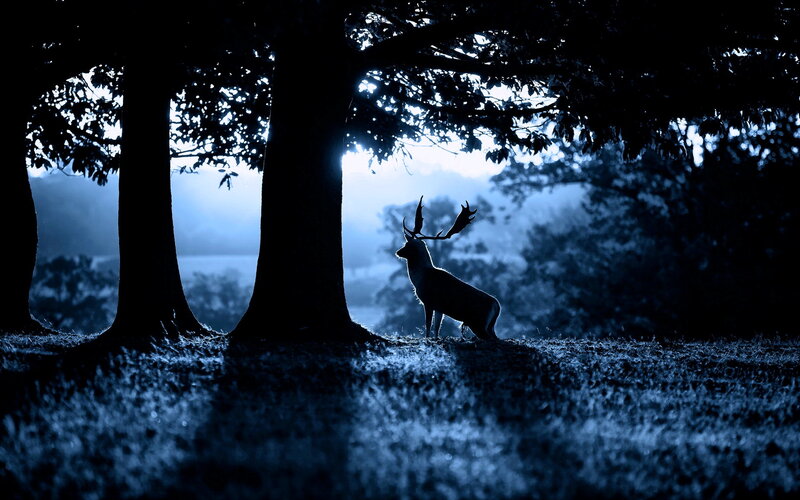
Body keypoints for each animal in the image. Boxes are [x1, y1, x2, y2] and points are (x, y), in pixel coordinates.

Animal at [395, 196, 501, 341]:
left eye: (407, 245)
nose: (398, 252)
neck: (420, 278)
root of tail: (497, 306)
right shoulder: (440, 308)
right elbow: (437, 328)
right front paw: (436, 338)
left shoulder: (428, 301)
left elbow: (428, 325)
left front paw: (426, 339)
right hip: (489, 326)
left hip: (478, 323)